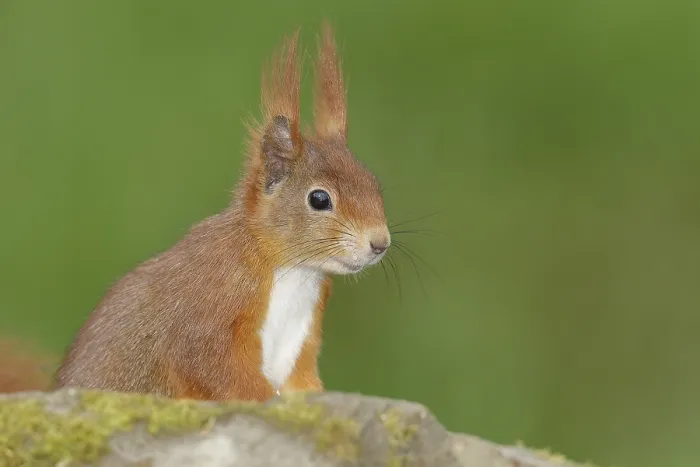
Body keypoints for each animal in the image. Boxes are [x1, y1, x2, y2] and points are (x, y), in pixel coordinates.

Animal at [38, 24, 391, 402]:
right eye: (320, 199)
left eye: (374, 183)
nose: (380, 243)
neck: (294, 271)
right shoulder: (211, 306)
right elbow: (216, 369)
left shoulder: (302, 342)